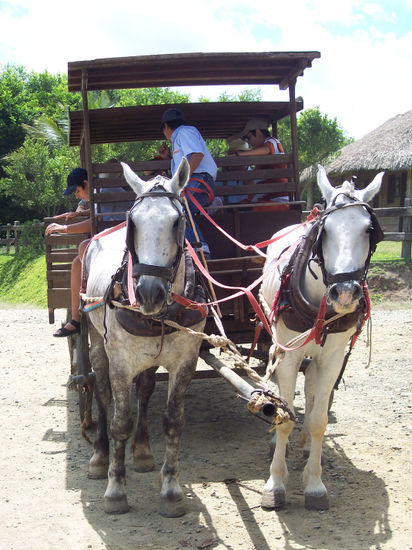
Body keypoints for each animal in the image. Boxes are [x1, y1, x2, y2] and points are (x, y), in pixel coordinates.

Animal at [83, 158, 206, 516]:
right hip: (97, 344)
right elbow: (120, 421)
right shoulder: (122, 363)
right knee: (102, 393)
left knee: (146, 390)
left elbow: (173, 420)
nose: (150, 292)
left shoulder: (186, 360)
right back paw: (100, 457)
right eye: (132, 222)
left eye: (178, 222)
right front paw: (115, 490)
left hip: (151, 358)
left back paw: (140, 451)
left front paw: (171, 489)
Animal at [260, 166, 384, 512]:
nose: (345, 293)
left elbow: (319, 419)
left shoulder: (333, 358)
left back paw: (304, 445)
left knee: (313, 391)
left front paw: (314, 483)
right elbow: (284, 415)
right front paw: (275, 483)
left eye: (369, 229)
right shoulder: (287, 353)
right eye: (324, 230)